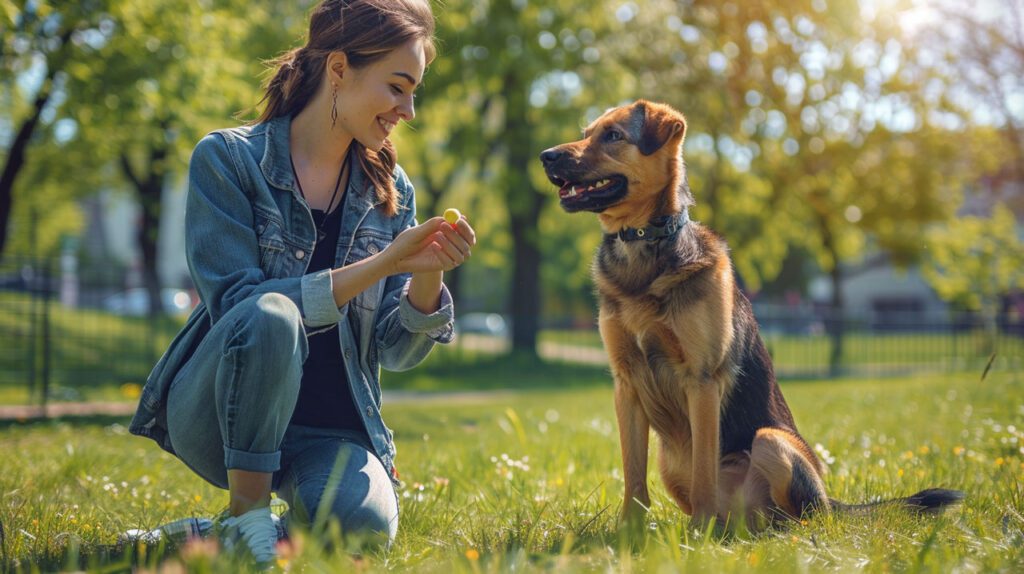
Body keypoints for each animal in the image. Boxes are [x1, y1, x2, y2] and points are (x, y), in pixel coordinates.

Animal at [540, 99, 962, 532]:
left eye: (613, 136)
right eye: (586, 133)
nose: (546, 156)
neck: (644, 245)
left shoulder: (702, 379)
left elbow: (704, 470)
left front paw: (697, 535)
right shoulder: (626, 383)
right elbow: (632, 474)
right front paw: (630, 533)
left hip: (772, 443)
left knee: (806, 518)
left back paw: (746, 531)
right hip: (670, 463)